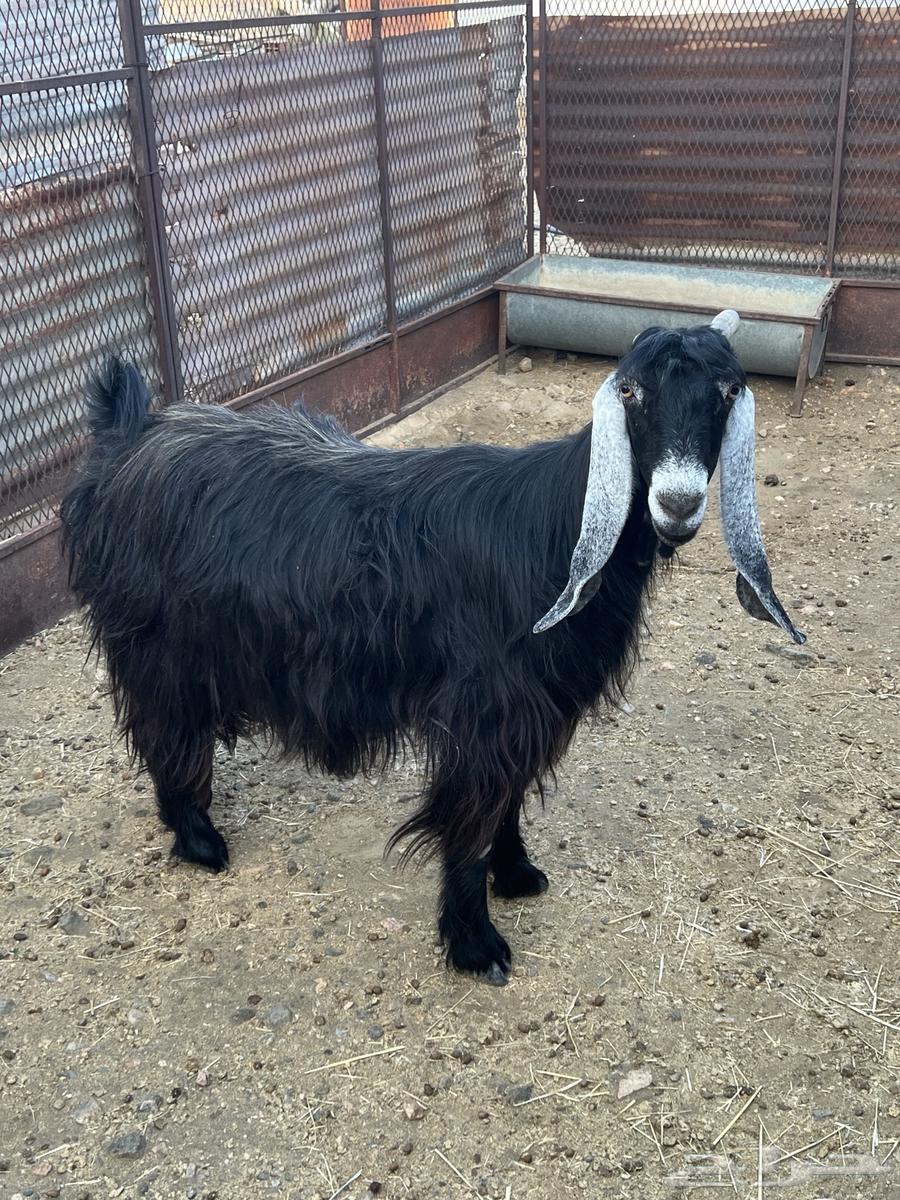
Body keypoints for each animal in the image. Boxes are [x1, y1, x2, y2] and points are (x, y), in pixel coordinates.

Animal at [61, 310, 804, 985]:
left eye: (727, 391)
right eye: (631, 392)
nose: (676, 503)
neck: (547, 533)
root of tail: (130, 435)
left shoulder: (528, 713)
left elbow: (508, 799)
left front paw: (517, 873)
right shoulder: (487, 712)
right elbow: (471, 819)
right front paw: (476, 945)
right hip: (160, 648)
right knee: (163, 730)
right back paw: (198, 840)